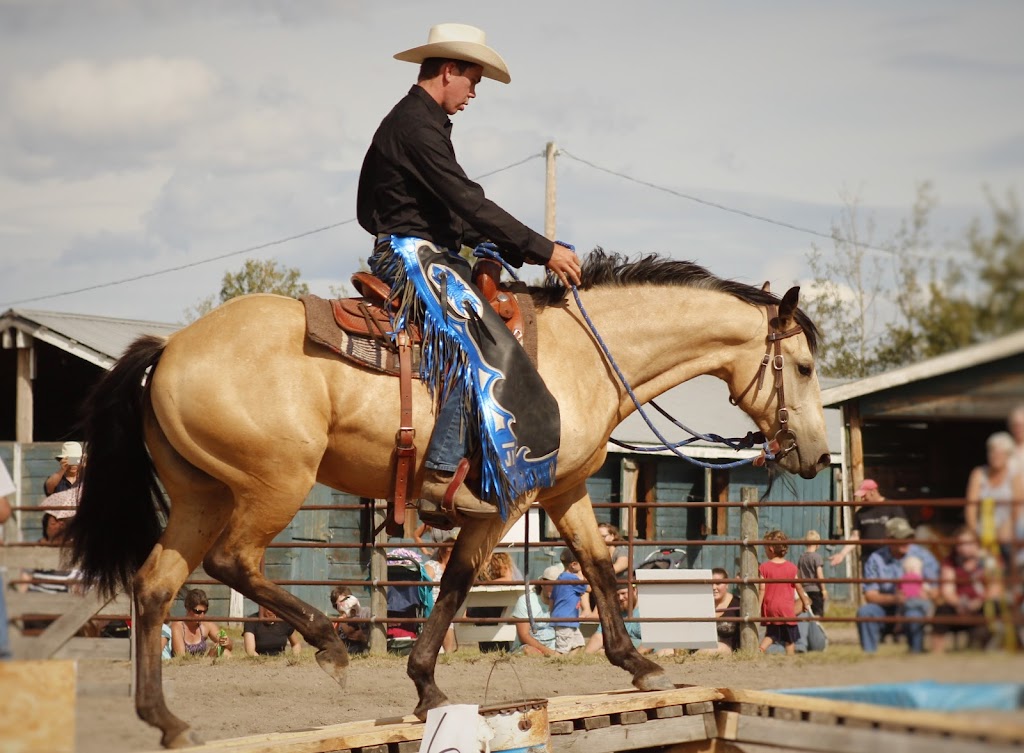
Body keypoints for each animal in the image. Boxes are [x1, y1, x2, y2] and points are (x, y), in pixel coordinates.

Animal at [66, 252, 831, 749]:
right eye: (803, 366)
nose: (817, 454)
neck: (582, 356)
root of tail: (168, 350)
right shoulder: (504, 505)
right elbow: (461, 580)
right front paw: (426, 685)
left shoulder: (566, 489)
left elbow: (595, 563)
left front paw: (638, 663)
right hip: (273, 484)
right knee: (234, 561)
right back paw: (327, 644)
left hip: (202, 494)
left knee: (155, 584)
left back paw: (166, 720)